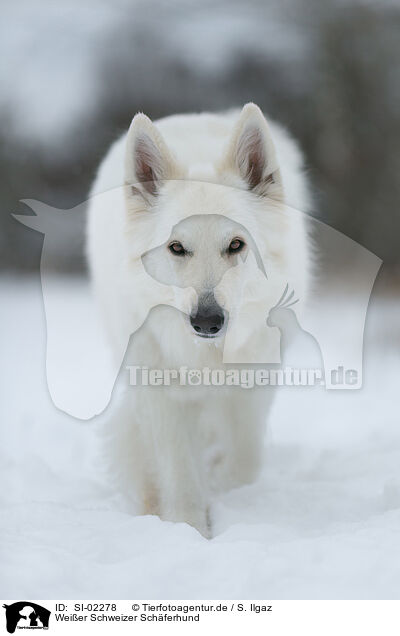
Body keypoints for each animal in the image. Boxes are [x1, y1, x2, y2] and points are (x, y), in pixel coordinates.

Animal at [87, 103, 310, 536]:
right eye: (177, 248)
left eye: (236, 245)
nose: (207, 321)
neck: (206, 357)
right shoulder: (159, 393)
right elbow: (179, 472)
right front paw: (188, 528)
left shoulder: (252, 385)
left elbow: (244, 461)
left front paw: (222, 491)